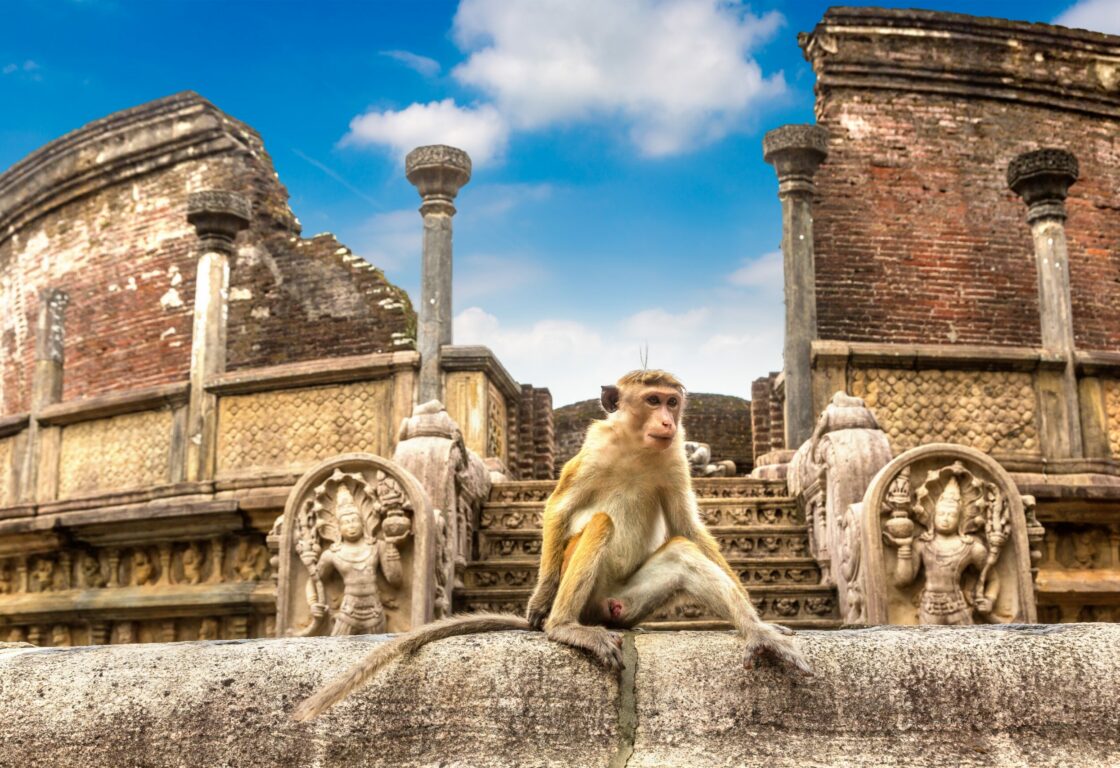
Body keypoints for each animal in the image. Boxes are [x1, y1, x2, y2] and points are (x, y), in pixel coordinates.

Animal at [291, 370, 809, 722]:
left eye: (673, 402)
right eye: (653, 399)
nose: (667, 419)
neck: (638, 446)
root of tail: (601, 611)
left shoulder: (675, 457)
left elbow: (689, 527)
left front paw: (759, 620)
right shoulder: (592, 452)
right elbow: (559, 510)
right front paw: (539, 601)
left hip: (627, 600)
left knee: (680, 551)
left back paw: (756, 634)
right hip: (587, 593)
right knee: (598, 523)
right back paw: (562, 625)